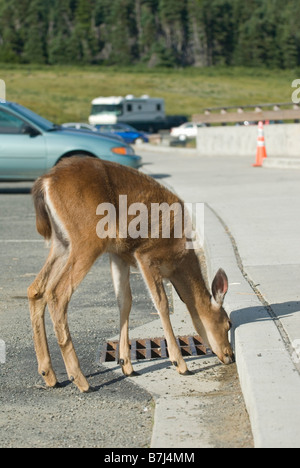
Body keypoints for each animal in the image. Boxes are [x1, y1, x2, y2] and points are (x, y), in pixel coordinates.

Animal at [28, 156, 233, 392]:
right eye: (228, 323)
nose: (230, 355)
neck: (179, 263)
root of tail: (46, 181)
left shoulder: (119, 255)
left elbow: (125, 301)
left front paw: (126, 364)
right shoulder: (146, 255)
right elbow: (161, 303)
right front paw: (179, 363)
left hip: (62, 242)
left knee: (36, 289)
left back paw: (49, 374)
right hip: (87, 238)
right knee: (57, 293)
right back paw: (80, 379)